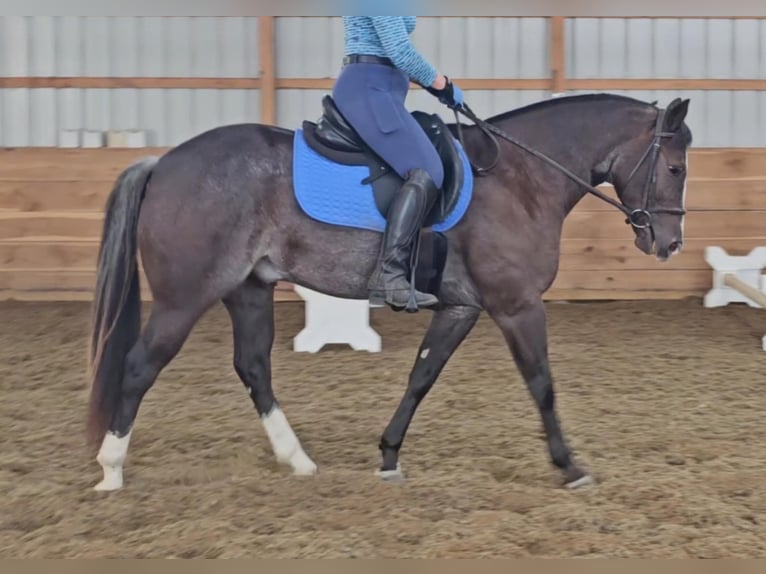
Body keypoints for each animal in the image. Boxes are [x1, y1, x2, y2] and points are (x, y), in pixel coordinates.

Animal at [85, 92, 692, 491]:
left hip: (248, 289)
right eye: (675, 167)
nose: (668, 242)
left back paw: (298, 461)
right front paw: (570, 467)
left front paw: (389, 455)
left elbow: (421, 377)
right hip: (184, 298)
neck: (521, 179)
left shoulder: (461, 308)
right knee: (140, 366)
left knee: (253, 367)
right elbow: (542, 385)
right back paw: (111, 469)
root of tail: (163, 163)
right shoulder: (516, 307)